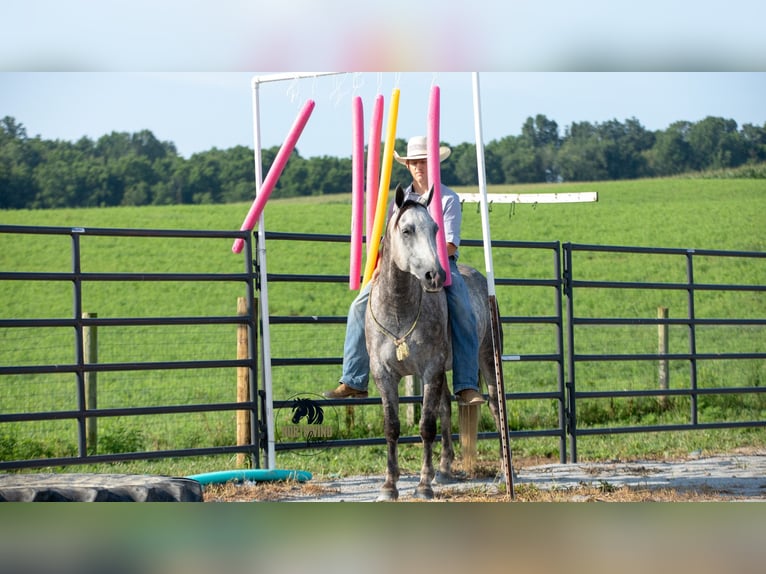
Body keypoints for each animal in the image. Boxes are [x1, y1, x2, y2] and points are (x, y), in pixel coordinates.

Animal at [365, 184, 503, 501]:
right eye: (406, 230)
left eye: (435, 228)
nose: (435, 275)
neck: (399, 310)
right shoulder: (384, 374)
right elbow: (392, 427)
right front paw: (389, 486)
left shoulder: (430, 369)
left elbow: (426, 425)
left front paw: (423, 485)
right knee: (446, 408)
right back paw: (444, 469)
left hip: (487, 359)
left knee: (494, 405)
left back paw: (504, 473)